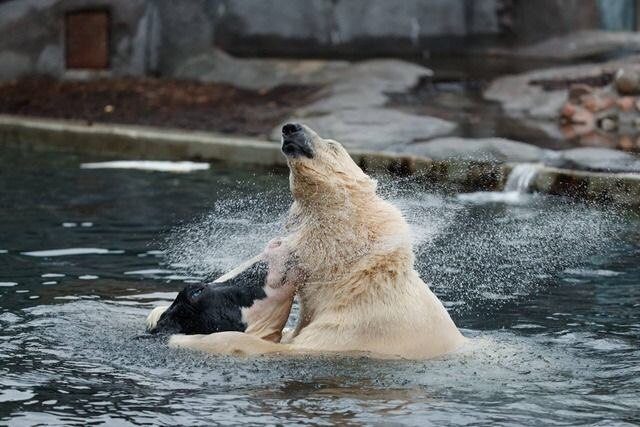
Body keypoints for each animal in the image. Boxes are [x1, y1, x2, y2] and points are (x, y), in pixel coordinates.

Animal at [168, 124, 462, 362]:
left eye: (332, 145)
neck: (357, 278)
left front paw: (187, 338)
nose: (290, 128)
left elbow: (283, 349)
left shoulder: (358, 329)